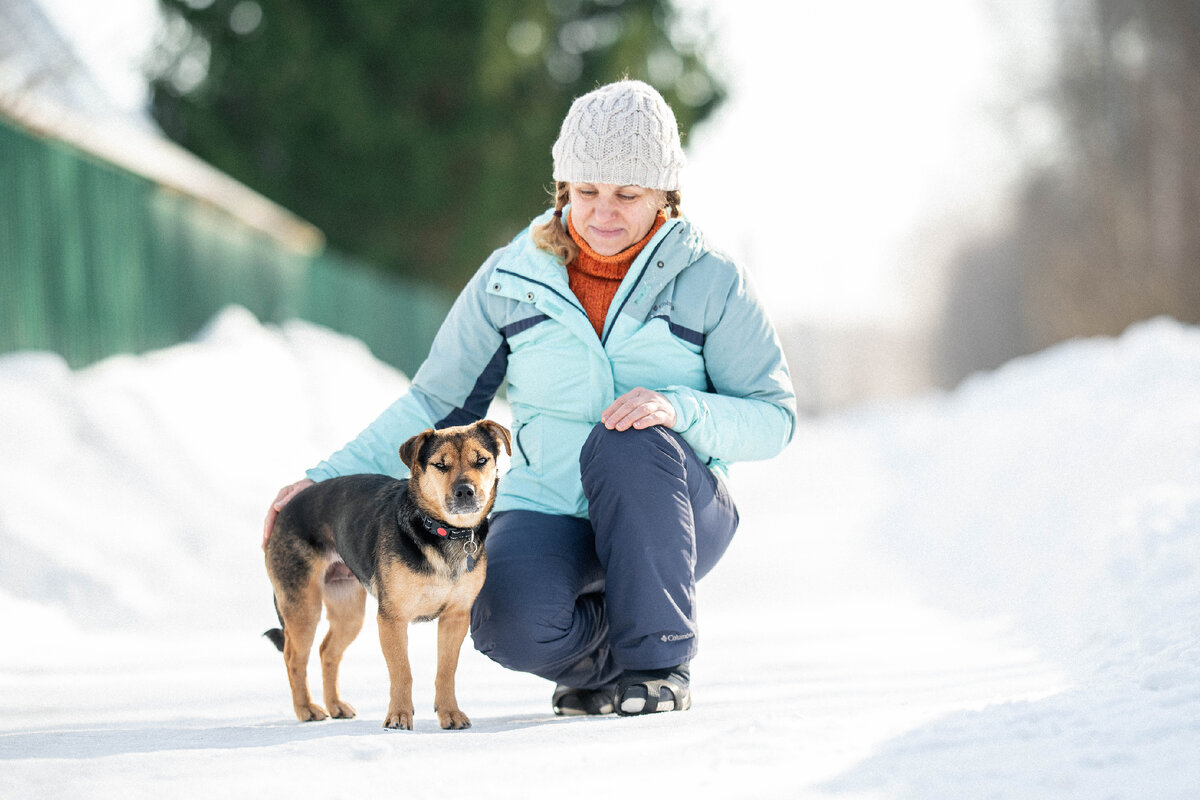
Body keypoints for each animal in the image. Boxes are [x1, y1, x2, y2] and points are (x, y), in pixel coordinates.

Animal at [265, 419, 508, 734]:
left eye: (481, 460)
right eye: (440, 465)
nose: (465, 491)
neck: (442, 532)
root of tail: (285, 508)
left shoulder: (455, 617)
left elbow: (446, 670)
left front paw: (450, 714)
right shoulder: (392, 618)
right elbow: (402, 671)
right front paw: (399, 717)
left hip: (349, 610)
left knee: (327, 652)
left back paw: (335, 705)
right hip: (303, 606)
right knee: (294, 658)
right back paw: (306, 708)